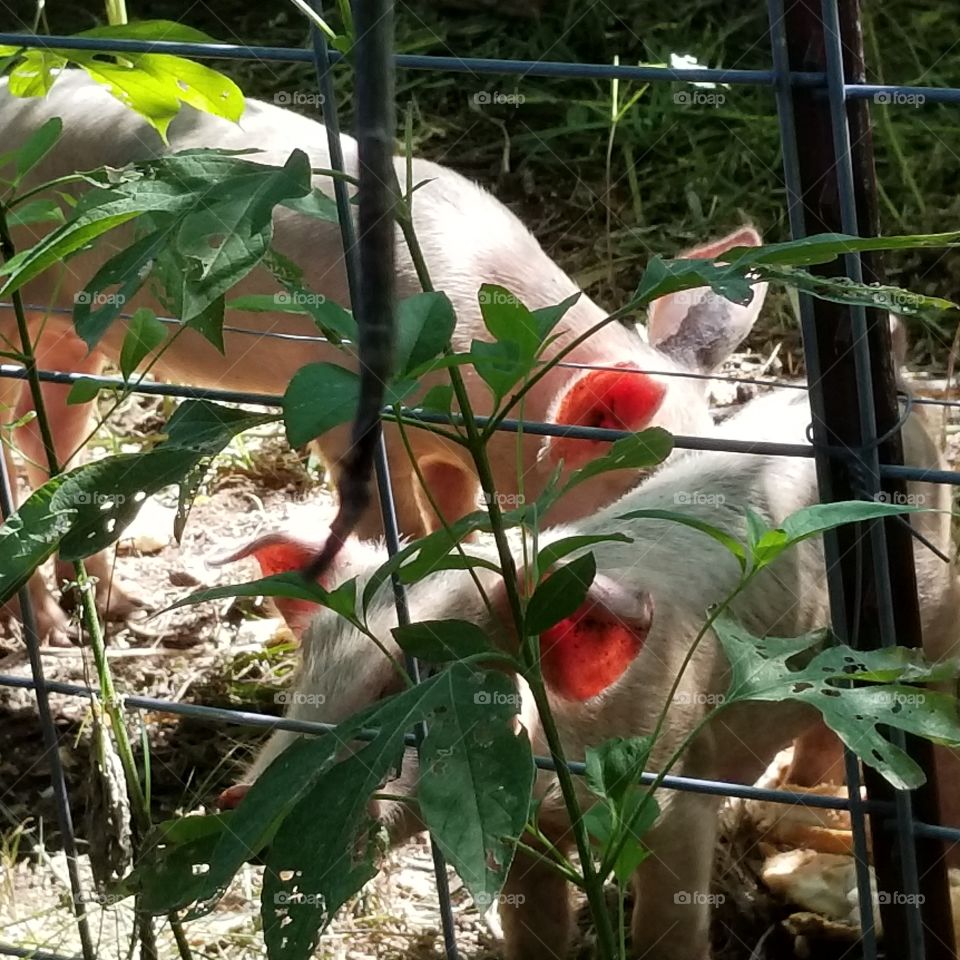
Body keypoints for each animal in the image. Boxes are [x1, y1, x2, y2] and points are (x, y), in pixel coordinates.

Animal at [0, 69, 767, 641]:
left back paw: (120, 607)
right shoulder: (345, 419)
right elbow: (384, 526)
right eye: (640, 494)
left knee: (47, 446)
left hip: (69, 341)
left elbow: (453, 513)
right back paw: (53, 634)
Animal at [214, 385, 959, 960]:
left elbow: (666, 931)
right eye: (304, 678)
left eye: (427, 678)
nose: (237, 802)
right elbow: (534, 933)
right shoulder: (513, 825)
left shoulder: (674, 789)